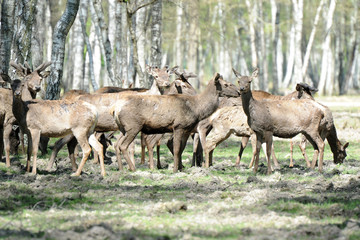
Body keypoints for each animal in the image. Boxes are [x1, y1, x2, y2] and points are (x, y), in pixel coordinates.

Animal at [108, 72, 240, 173]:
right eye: (226, 84)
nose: (239, 92)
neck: (197, 109)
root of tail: (115, 109)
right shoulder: (178, 126)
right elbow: (176, 149)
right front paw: (175, 169)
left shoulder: (187, 129)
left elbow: (181, 149)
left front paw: (181, 168)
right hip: (133, 127)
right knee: (123, 145)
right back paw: (133, 168)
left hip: (124, 129)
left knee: (117, 144)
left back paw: (122, 169)